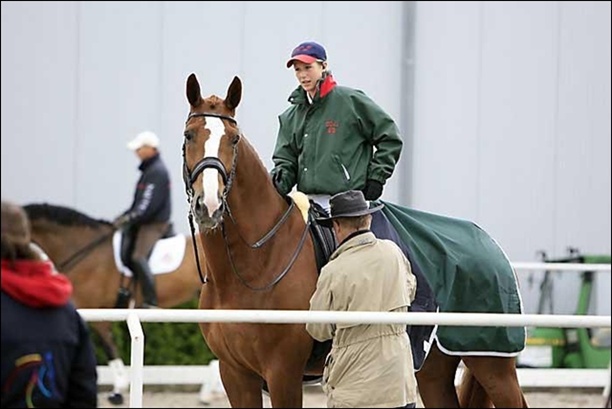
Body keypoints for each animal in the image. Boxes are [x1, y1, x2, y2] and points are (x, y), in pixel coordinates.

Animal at [180, 74, 524, 408]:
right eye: (189, 136)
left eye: (233, 139)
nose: (208, 204)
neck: (257, 263)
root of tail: (489, 244)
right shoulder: (236, 375)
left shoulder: (283, 373)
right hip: (433, 368)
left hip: (492, 364)